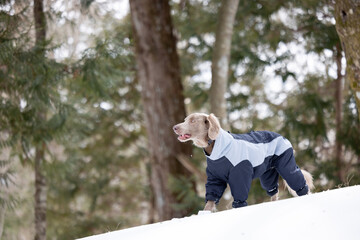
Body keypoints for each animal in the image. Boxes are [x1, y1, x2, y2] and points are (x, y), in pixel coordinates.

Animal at [173, 113, 314, 212]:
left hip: (286, 165)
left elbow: (239, 196)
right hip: (267, 173)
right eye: (185, 119)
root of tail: (282, 136)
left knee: (298, 181)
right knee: (273, 190)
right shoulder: (215, 177)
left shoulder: (239, 174)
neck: (216, 148)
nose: (174, 127)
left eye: (193, 121)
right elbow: (211, 197)